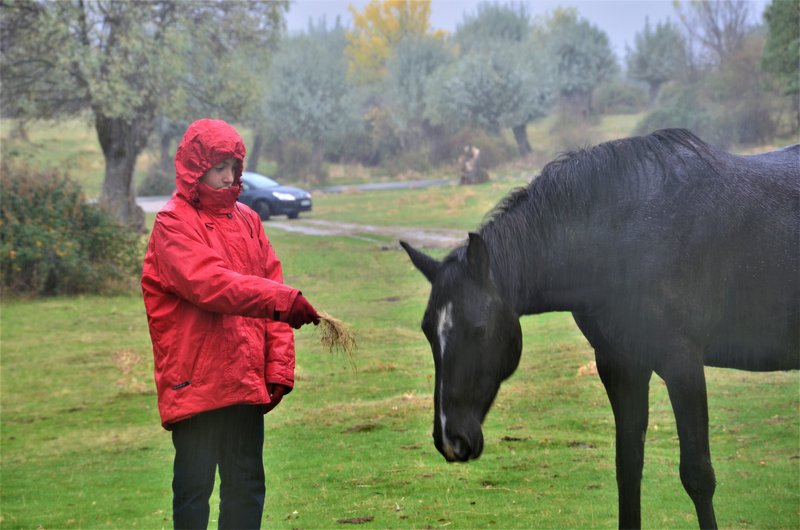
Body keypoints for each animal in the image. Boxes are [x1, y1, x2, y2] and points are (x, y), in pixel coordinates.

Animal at [404, 129, 796, 528]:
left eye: (479, 329)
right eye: (427, 331)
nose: (450, 439)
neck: (622, 240)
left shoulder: (682, 364)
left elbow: (698, 476)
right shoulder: (620, 366)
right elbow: (628, 469)